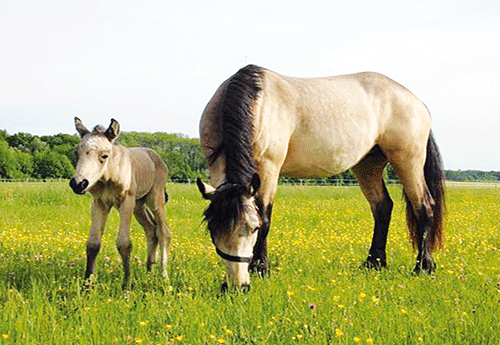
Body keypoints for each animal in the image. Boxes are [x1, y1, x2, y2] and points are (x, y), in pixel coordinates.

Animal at [69, 117, 172, 286]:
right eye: (76, 153)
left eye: (104, 155)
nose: (78, 184)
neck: (109, 175)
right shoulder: (99, 202)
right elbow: (93, 243)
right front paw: (88, 283)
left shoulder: (126, 201)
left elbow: (124, 243)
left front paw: (126, 283)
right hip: (139, 205)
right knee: (151, 229)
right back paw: (149, 271)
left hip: (155, 199)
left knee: (164, 232)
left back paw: (164, 276)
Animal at [196, 64, 446, 288]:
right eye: (213, 229)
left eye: (253, 228)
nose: (238, 285)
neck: (259, 103)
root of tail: (416, 101)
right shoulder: (216, 166)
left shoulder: (269, 168)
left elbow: (265, 217)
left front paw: (261, 268)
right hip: (368, 165)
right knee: (382, 207)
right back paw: (374, 263)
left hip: (408, 161)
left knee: (424, 207)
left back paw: (422, 267)